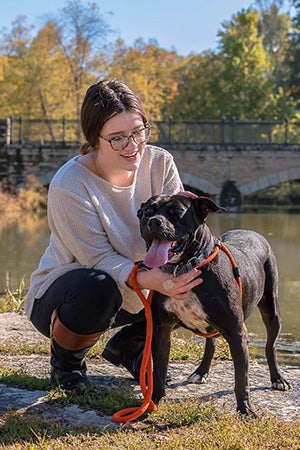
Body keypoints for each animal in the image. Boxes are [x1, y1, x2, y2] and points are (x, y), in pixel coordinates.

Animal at [138, 195, 290, 416]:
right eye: (148, 211)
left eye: (177, 212)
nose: (154, 221)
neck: (183, 268)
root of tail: (252, 231)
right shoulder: (161, 330)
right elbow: (158, 371)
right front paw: (151, 404)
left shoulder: (237, 332)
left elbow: (241, 378)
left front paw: (245, 409)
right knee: (211, 342)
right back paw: (201, 372)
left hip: (272, 311)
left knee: (270, 346)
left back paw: (278, 378)